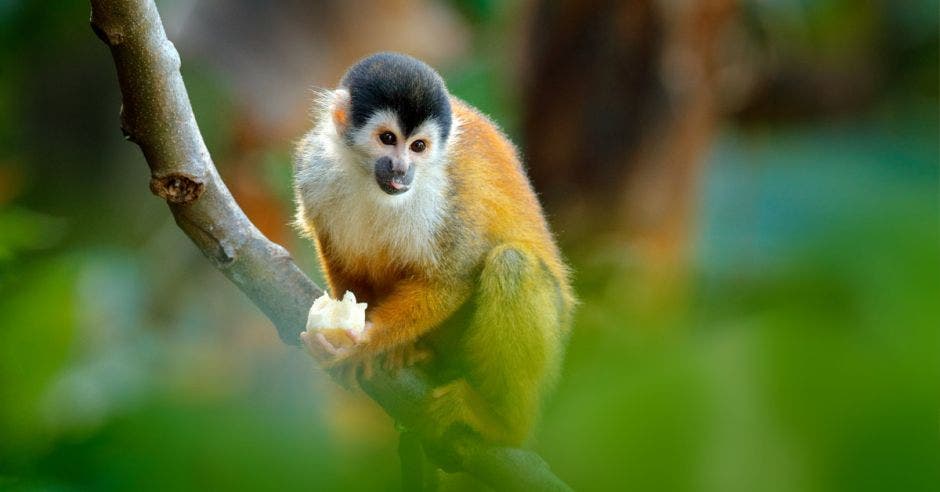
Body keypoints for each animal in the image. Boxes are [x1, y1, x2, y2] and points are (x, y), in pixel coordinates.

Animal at [294, 52, 572, 450]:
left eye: (418, 147)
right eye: (388, 139)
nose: (400, 168)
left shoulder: (453, 196)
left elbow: (453, 277)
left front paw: (366, 342)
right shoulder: (313, 169)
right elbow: (334, 246)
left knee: (513, 264)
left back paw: (502, 423)